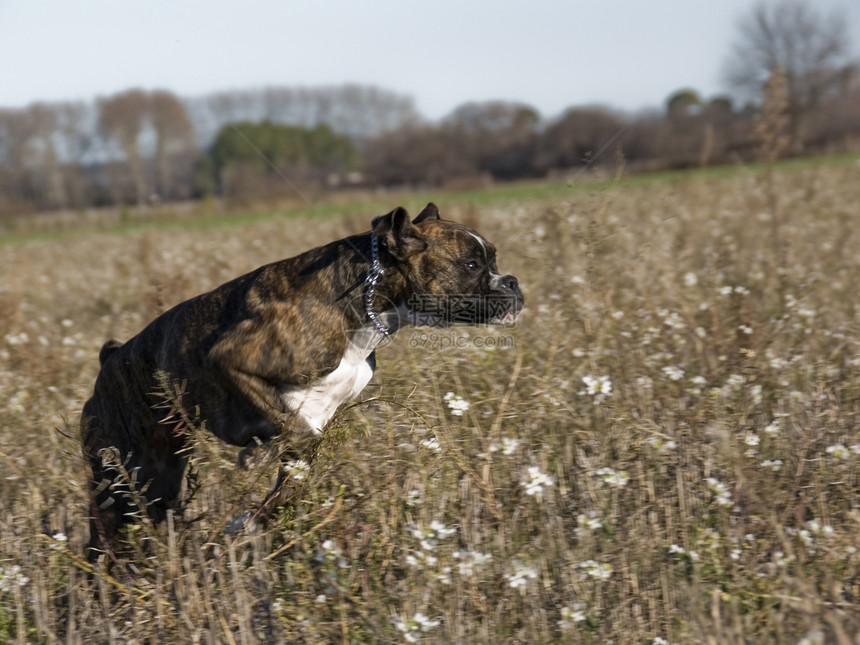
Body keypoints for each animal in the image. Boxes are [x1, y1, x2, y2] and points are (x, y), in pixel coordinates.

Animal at [82, 205, 524, 552]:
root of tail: (110, 359)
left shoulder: (319, 416)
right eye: (471, 265)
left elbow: (291, 478)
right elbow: (293, 430)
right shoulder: (231, 362)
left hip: (160, 480)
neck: (366, 298)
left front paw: (252, 522)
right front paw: (254, 465)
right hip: (118, 480)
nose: (513, 282)